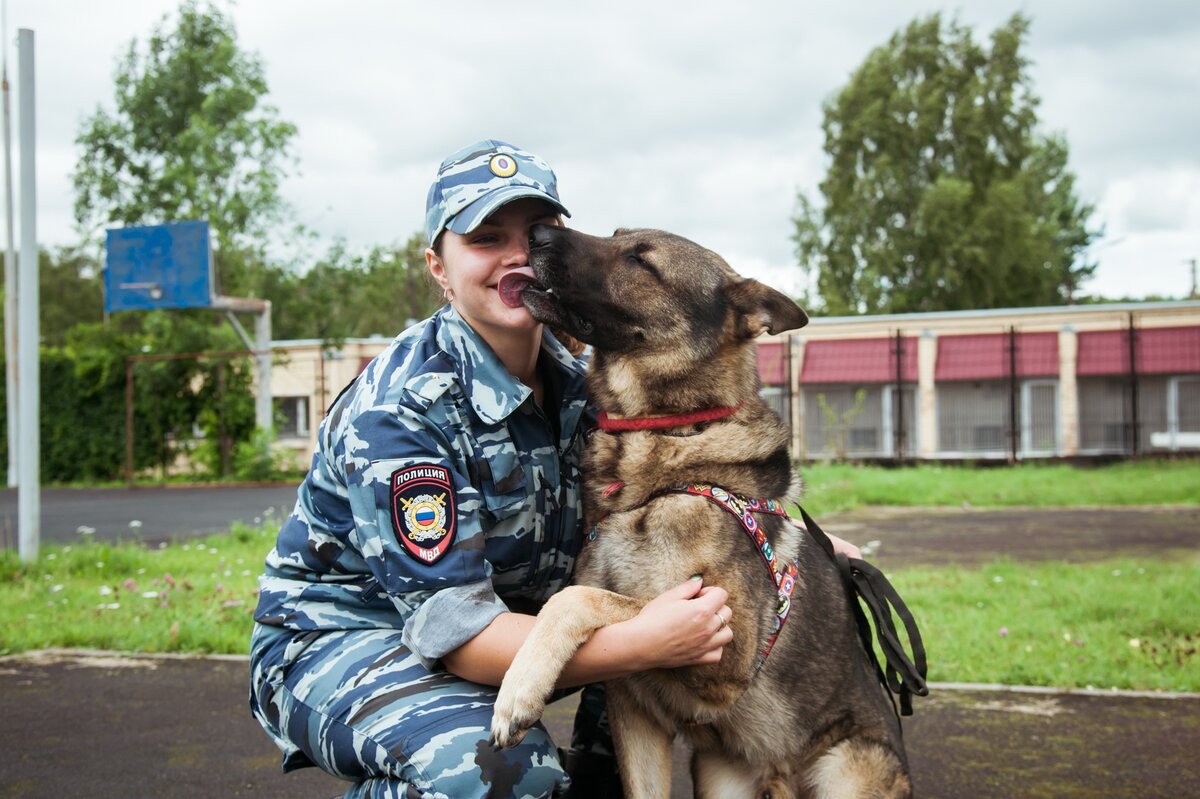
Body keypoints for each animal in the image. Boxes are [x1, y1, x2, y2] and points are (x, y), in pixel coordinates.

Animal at [492, 224, 912, 796]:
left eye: (641, 259)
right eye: (617, 234)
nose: (536, 233)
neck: (669, 434)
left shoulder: (722, 649)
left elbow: (577, 598)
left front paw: (517, 689)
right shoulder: (634, 707)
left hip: (843, 772)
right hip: (719, 776)